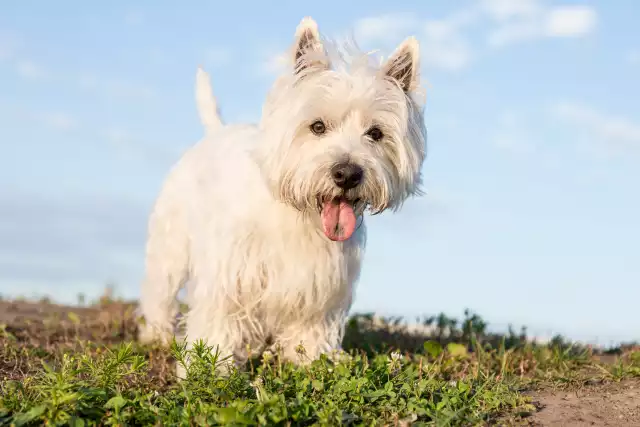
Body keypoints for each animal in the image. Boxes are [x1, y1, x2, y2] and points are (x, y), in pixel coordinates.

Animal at [141, 16, 430, 372]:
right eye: (317, 126)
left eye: (376, 133)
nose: (347, 174)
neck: (299, 216)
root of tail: (216, 132)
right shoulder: (230, 276)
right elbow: (218, 321)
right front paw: (208, 366)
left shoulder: (322, 287)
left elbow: (311, 329)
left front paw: (314, 361)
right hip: (171, 246)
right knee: (160, 292)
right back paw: (156, 335)